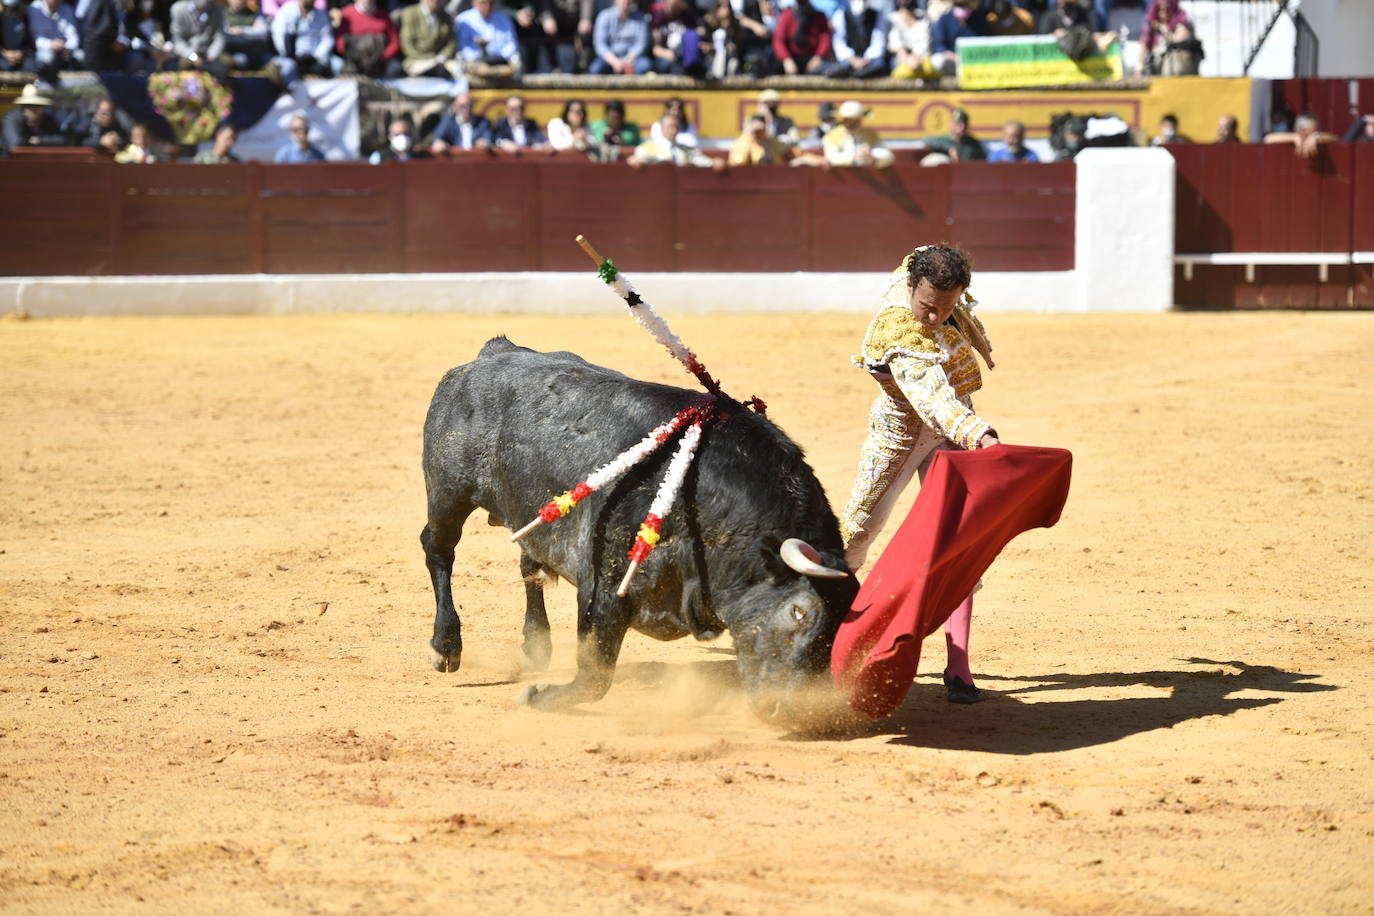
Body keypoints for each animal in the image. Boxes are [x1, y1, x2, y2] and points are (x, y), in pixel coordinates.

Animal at [417, 339, 857, 725]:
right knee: (438, 548)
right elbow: (595, 675)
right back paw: (446, 646)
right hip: (448, 493)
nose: (791, 710)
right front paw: (539, 697)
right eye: (799, 612)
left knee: (531, 565)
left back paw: (536, 645)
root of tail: (494, 352)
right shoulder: (604, 585)